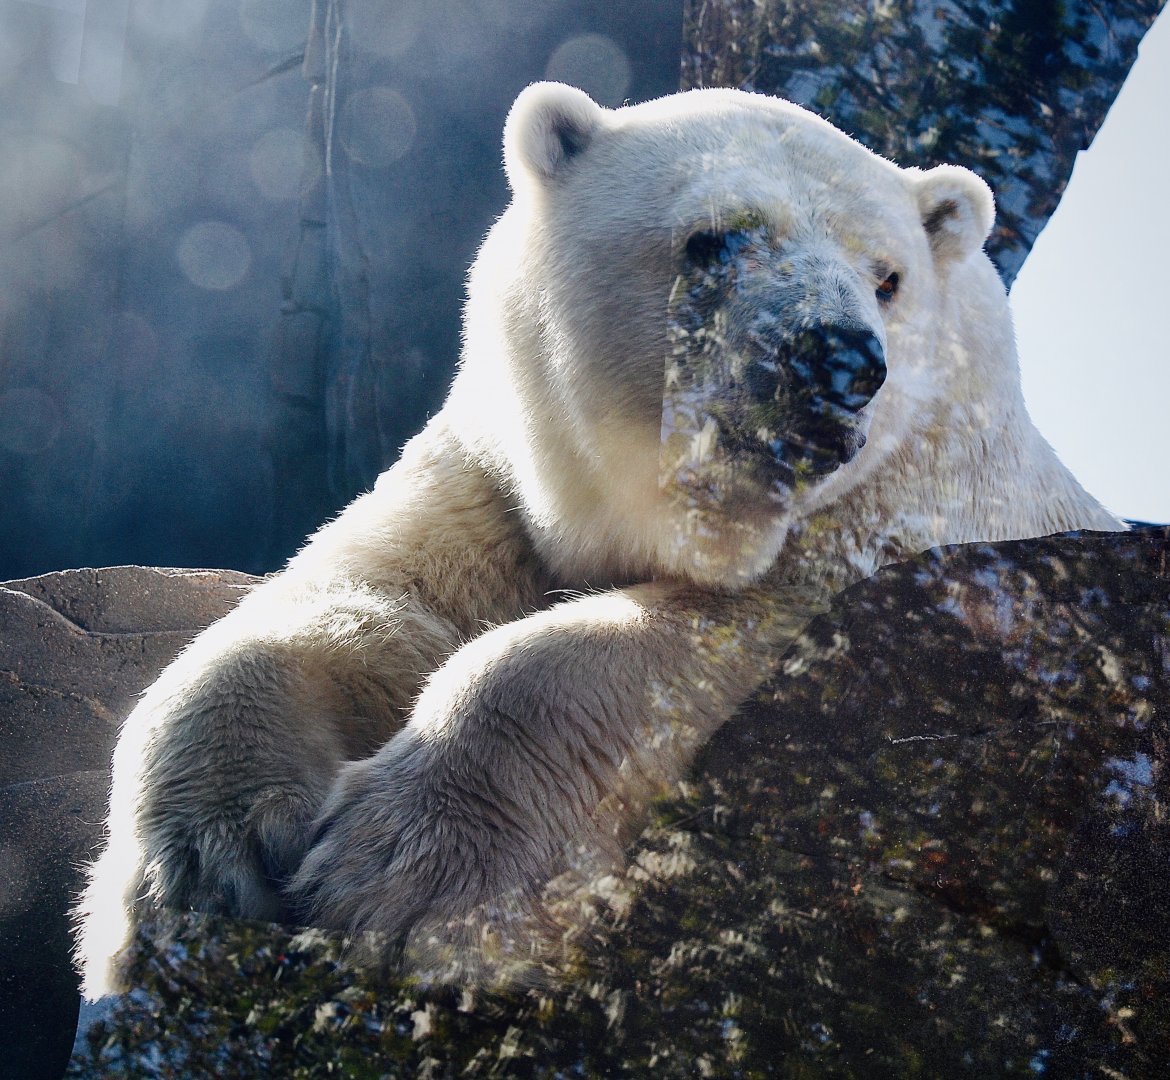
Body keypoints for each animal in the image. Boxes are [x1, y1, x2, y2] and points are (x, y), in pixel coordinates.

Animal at [74, 81, 1121, 998]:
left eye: (889, 277)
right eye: (711, 240)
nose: (840, 359)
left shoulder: (902, 519)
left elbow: (663, 641)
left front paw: (410, 879)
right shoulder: (497, 470)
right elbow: (368, 597)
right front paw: (204, 865)